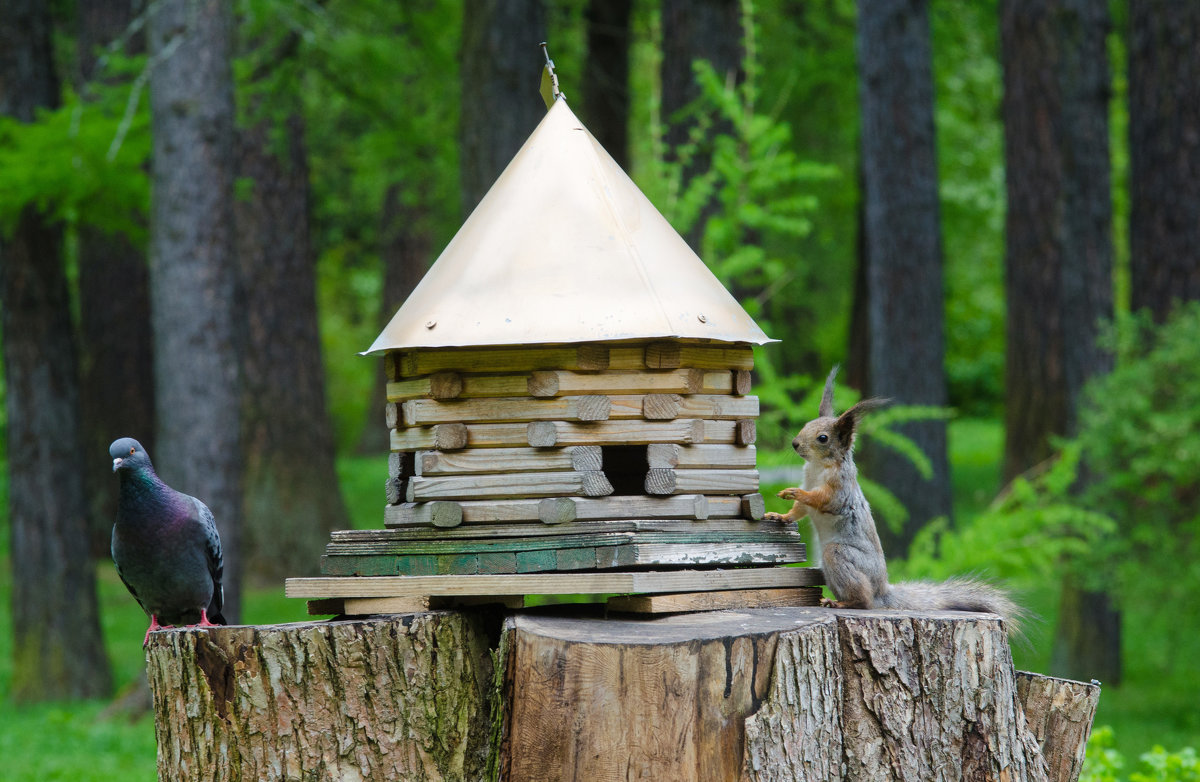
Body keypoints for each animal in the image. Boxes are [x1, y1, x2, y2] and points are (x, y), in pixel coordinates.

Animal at [768, 364, 1022, 633]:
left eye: (823, 438)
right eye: (806, 425)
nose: (795, 443)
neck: (818, 466)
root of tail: (882, 591)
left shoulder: (840, 489)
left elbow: (821, 500)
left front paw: (794, 493)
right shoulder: (808, 479)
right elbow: (799, 511)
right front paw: (781, 515)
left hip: (839, 556)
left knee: (865, 601)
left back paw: (844, 603)